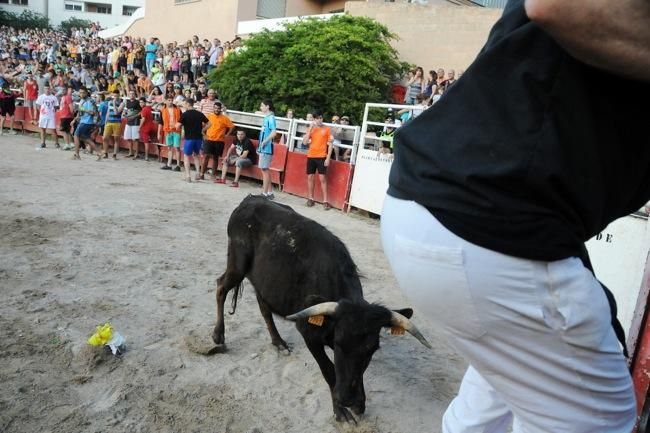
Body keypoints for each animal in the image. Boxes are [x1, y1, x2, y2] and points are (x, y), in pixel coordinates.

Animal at [210, 196, 430, 422]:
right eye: (339, 343)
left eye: (372, 349)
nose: (347, 399)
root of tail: (251, 199)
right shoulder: (309, 335)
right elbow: (329, 371)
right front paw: (340, 410)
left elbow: (355, 373)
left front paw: (358, 404)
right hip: (236, 265)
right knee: (221, 287)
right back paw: (218, 335)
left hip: (263, 281)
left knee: (263, 307)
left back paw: (278, 342)